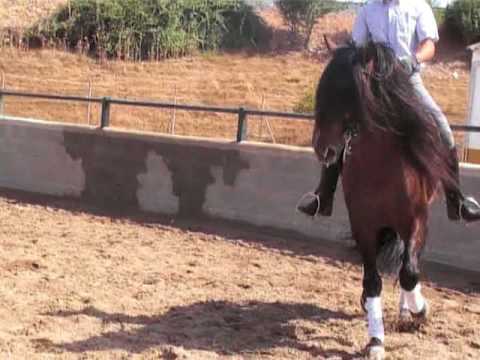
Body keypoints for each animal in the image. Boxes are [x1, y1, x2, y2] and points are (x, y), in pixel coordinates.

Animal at [312, 41, 458, 358]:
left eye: (345, 90)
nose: (322, 148)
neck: (382, 163)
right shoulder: (364, 226)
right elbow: (373, 281)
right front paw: (375, 340)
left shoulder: (416, 221)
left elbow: (410, 273)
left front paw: (420, 311)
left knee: (406, 265)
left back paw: (406, 312)